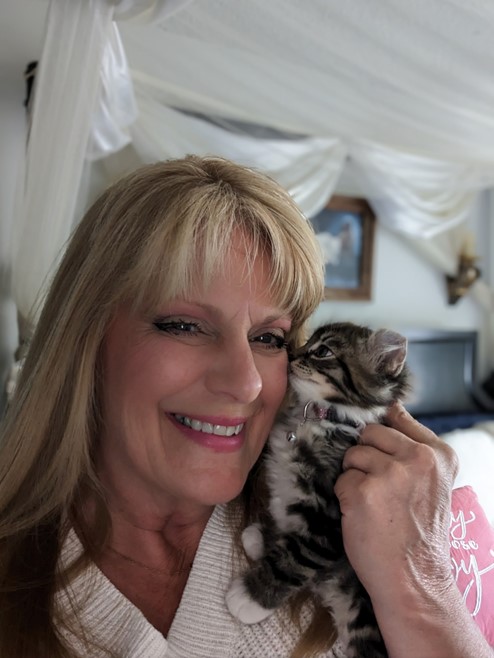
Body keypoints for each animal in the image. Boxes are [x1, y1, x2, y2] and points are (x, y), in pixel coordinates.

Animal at [226, 322, 412, 656]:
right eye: (306, 344)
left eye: (323, 351)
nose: (291, 354)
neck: (317, 419)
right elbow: (286, 525)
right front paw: (262, 538)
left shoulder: (329, 522)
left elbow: (293, 559)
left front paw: (250, 597)